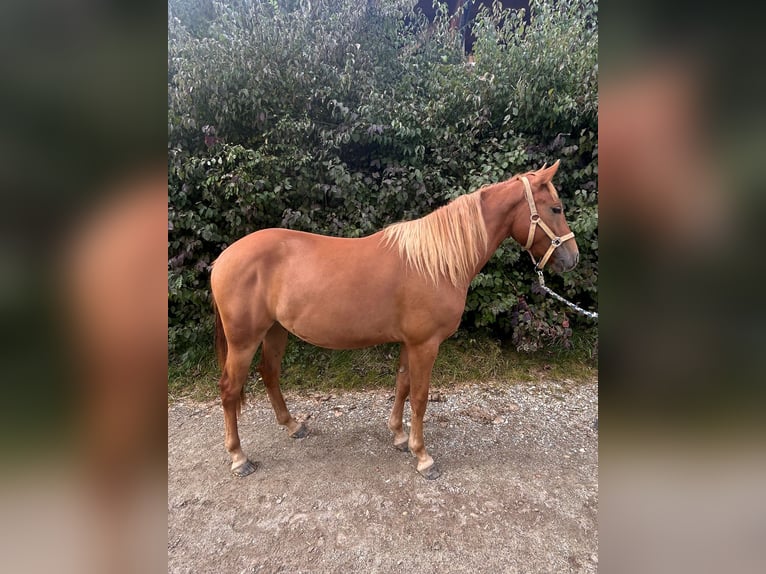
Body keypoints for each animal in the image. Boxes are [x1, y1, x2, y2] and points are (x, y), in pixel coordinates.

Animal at [213, 160, 580, 480]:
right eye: (556, 209)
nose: (572, 258)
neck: (435, 262)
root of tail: (223, 259)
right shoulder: (425, 344)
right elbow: (419, 397)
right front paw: (423, 456)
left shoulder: (409, 342)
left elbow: (402, 386)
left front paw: (400, 437)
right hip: (244, 340)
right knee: (230, 390)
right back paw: (238, 457)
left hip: (275, 331)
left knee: (269, 374)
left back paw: (293, 426)